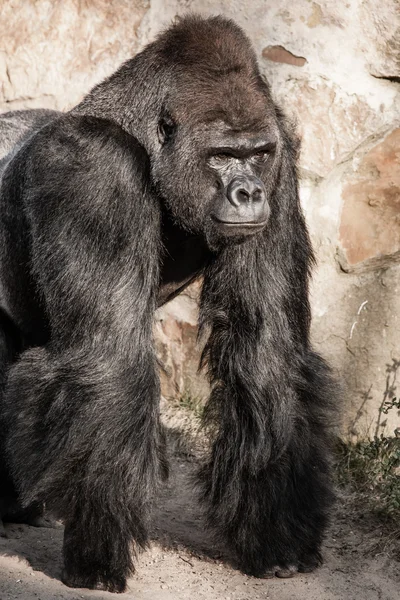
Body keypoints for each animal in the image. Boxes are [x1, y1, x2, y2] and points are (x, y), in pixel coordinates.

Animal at [0, 15, 338, 596]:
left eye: (257, 154)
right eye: (221, 155)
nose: (249, 192)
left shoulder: (282, 168)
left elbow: (265, 352)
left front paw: (277, 534)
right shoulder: (94, 168)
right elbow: (110, 360)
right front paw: (97, 554)